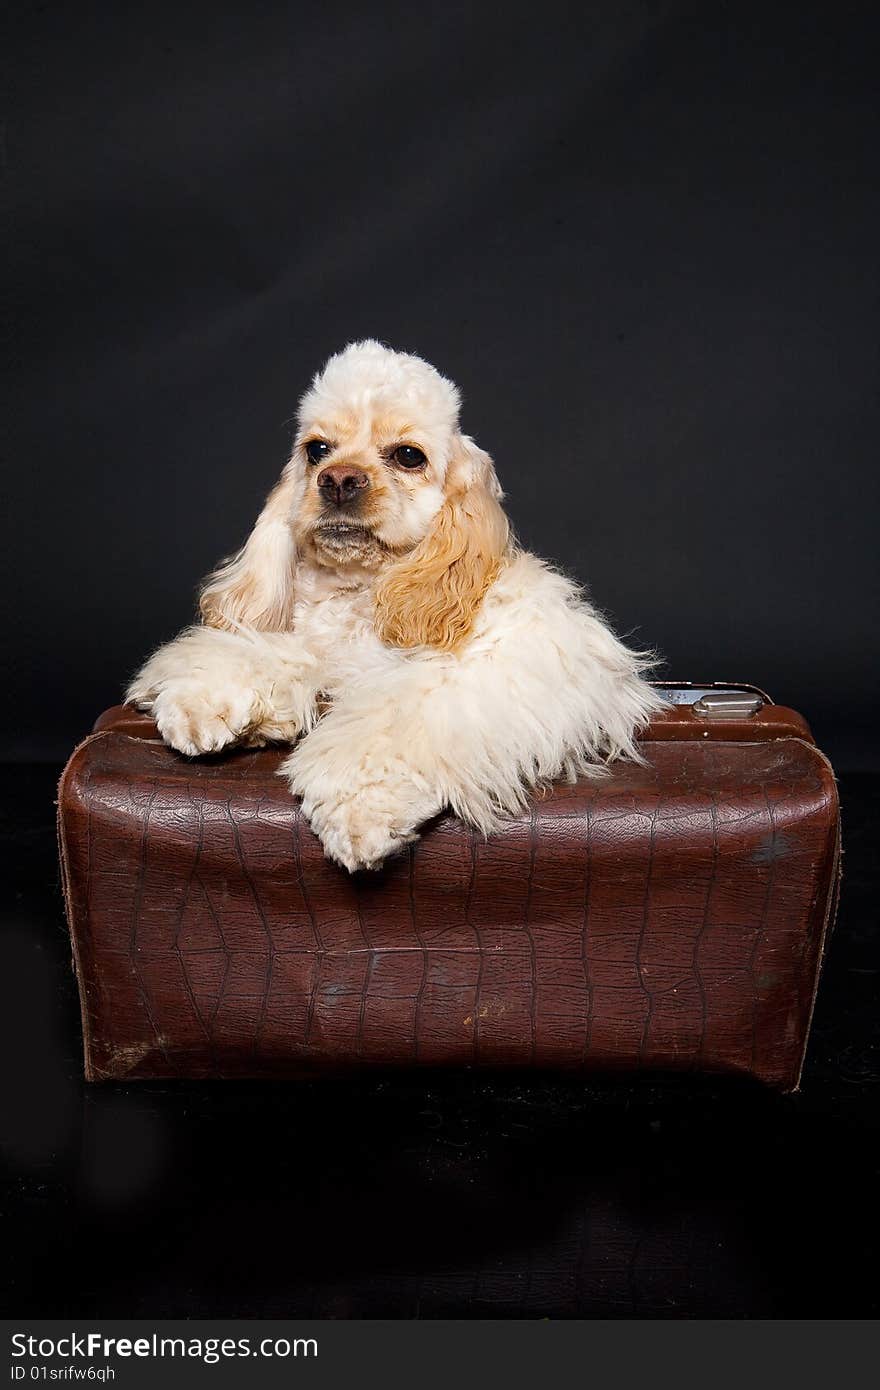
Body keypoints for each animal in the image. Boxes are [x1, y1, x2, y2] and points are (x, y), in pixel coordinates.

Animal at [128, 339, 658, 867]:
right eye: (317, 449)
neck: (361, 594)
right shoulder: (313, 650)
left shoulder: (510, 664)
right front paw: (202, 703)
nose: (338, 480)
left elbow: (393, 719)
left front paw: (357, 805)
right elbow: (262, 657)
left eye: (408, 456)